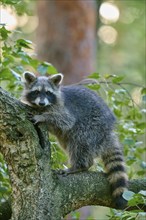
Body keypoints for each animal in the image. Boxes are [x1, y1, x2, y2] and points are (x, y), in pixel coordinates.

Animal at [21, 72, 128, 210]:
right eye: (36, 92)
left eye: (48, 93)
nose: (42, 103)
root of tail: (108, 131)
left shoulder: (63, 109)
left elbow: (65, 120)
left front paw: (43, 117)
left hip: (93, 127)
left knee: (79, 142)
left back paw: (79, 166)